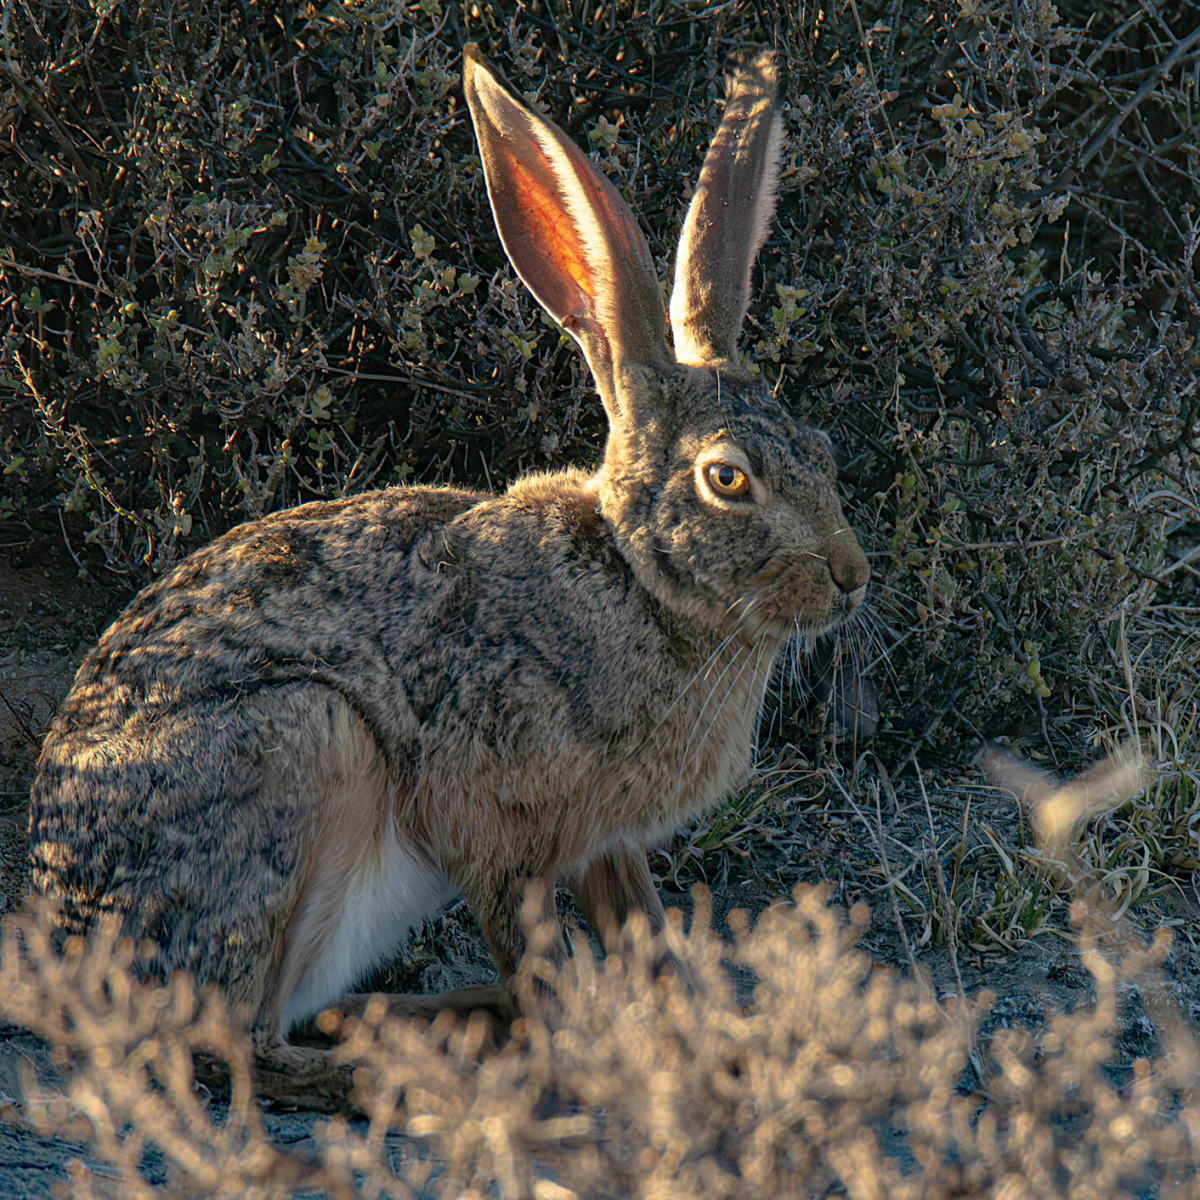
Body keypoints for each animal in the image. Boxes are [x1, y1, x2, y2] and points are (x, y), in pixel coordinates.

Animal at [27, 44, 869, 1108]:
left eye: (824, 449)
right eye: (728, 480)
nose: (852, 576)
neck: (636, 579)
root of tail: (64, 949)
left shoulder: (605, 845)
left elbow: (647, 937)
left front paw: (704, 1044)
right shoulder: (496, 828)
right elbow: (538, 956)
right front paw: (584, 1055)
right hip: (301, 744)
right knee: (235, 1043)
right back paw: (430, 1064)